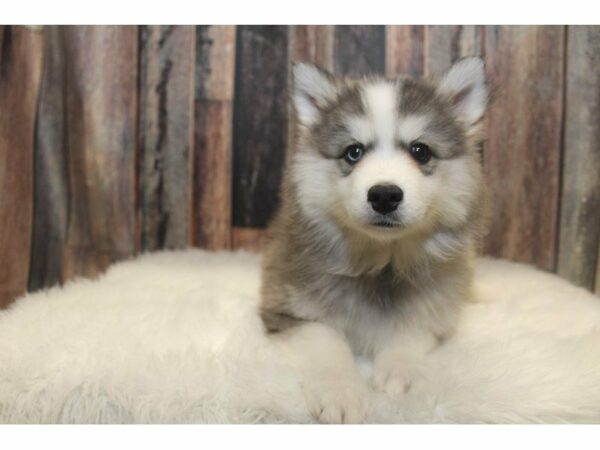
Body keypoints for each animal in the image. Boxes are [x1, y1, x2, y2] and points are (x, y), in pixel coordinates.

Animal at [262, 58, 488, 424]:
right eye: (353, 152)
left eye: (420, 151)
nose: (384, 195)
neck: (383, 262)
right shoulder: (285, 307)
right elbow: (325, 338)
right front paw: (340, 391)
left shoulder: (438, 306)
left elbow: (414, 327)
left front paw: (400, 369)